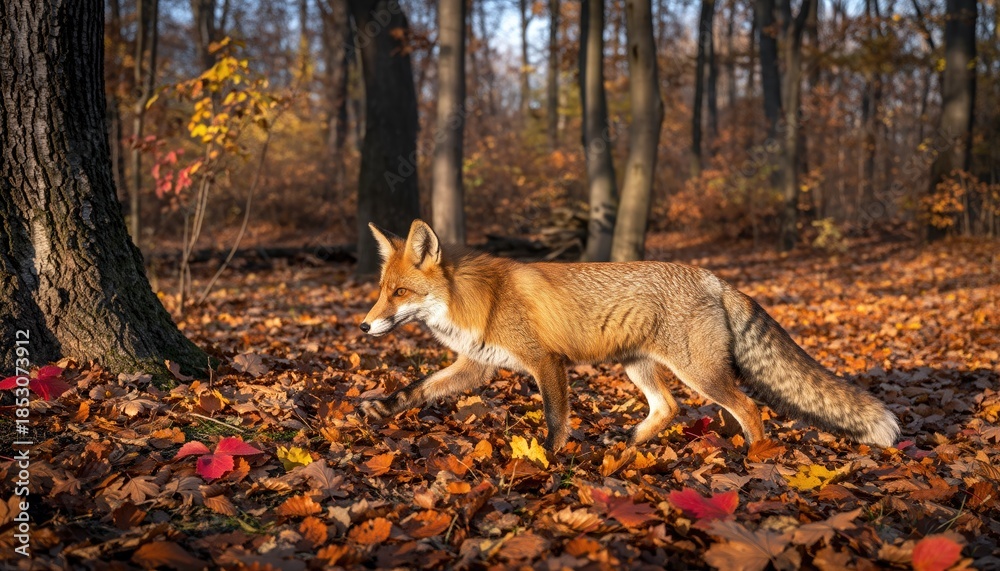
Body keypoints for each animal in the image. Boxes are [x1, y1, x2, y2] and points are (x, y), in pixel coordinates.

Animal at [359, 219, 900, 453]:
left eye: (400, 293)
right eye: (381, 291)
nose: (364, 325)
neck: (479, 300)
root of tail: (713, 279)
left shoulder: (546, 362)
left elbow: (555, 421)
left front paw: (551, 463)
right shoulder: (477, 365)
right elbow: (417, 389)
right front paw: (383, 408)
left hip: (699, 373)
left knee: (749, 408)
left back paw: (756, 457)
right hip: (637, 365)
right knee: (670, 408)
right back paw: (628, 445)